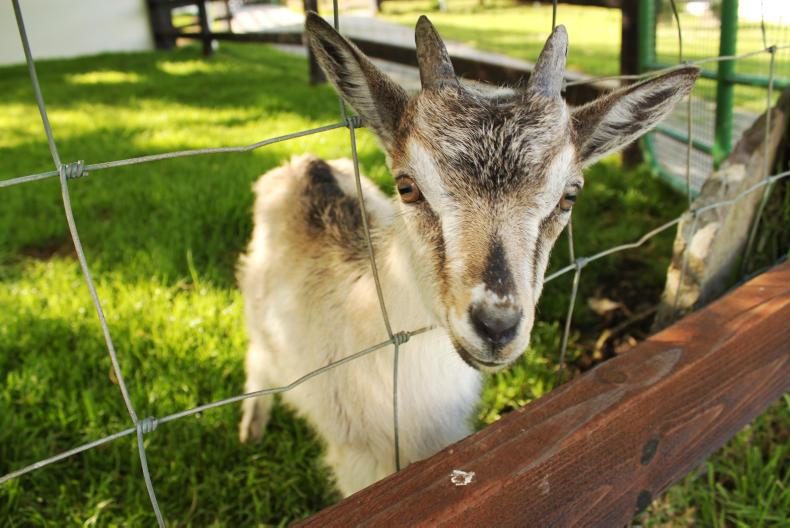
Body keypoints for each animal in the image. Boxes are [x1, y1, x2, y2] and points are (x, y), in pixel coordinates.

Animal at [237, 13, 700, 500]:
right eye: (407, 185)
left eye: (569, 196)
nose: (496, 326)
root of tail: (304, 162)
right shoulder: (358, 462)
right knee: (258, 362)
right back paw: (251, 429)